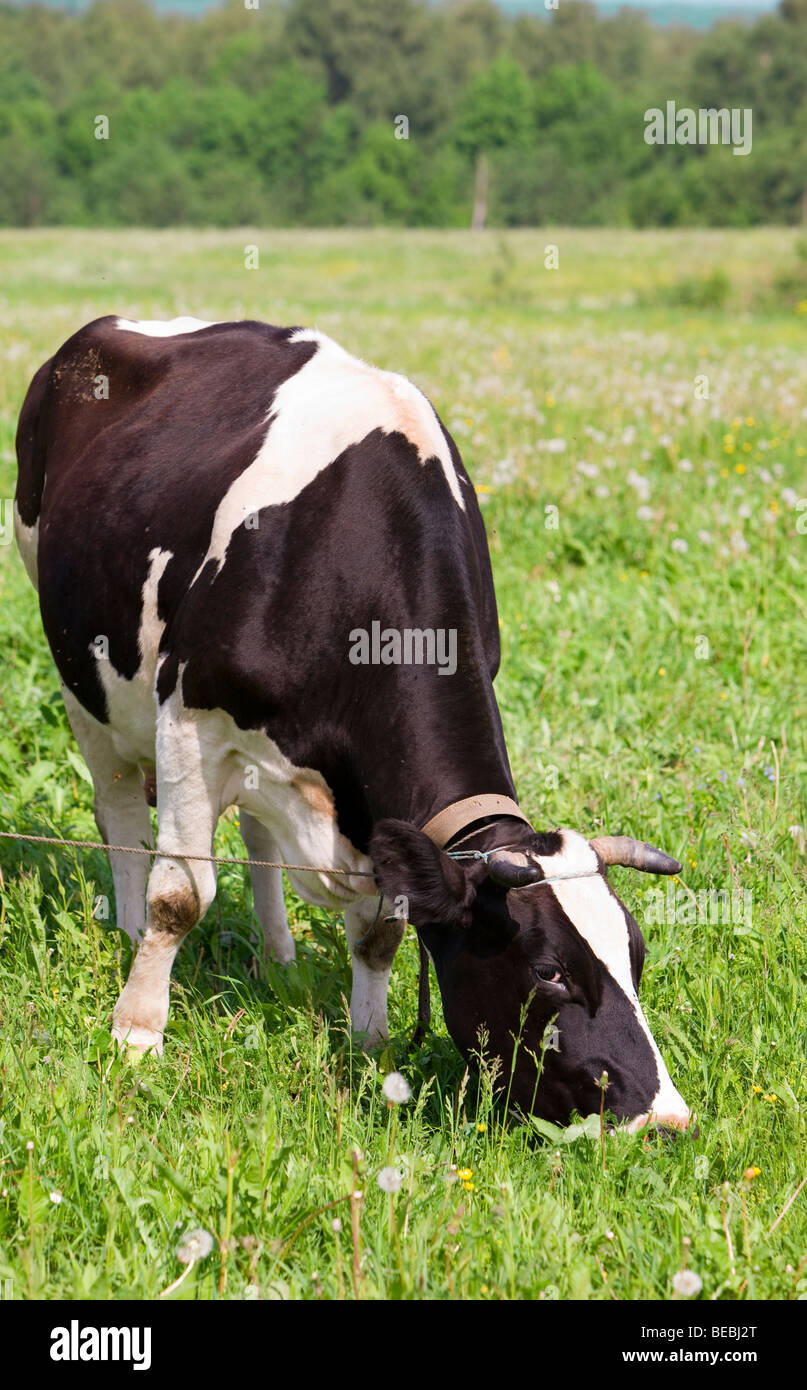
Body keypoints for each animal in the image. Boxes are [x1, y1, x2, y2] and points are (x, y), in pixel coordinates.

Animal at [14, 315, 690, 1132]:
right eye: (550, 971)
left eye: (637, 954)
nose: (663, 1118)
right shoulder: (189, 718)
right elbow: (181, 894)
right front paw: (137, 1032)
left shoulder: (372, 800)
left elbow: (380, 929)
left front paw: (369, 1047)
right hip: (82, 674)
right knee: (117, 810)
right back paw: (127, 929)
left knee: (257, 836)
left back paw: (277, 956)